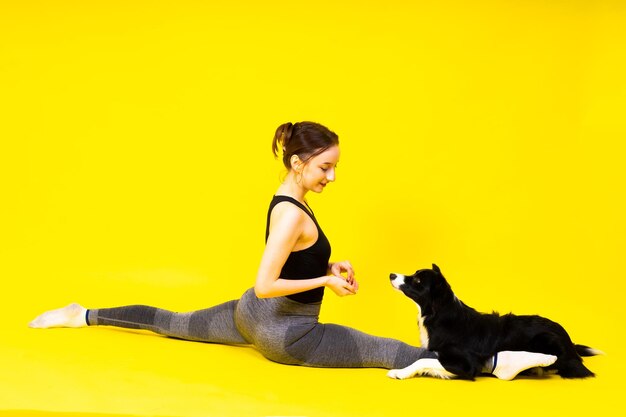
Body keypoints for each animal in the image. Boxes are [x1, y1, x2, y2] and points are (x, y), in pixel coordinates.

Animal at [388, 264, 596, 378]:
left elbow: (422, 360)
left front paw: (400, 372)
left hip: (546, 339)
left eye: (417, 281)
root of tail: (568, 339)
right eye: (414, 274)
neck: (438, 313)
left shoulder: (466, 363)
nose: (391, 274)